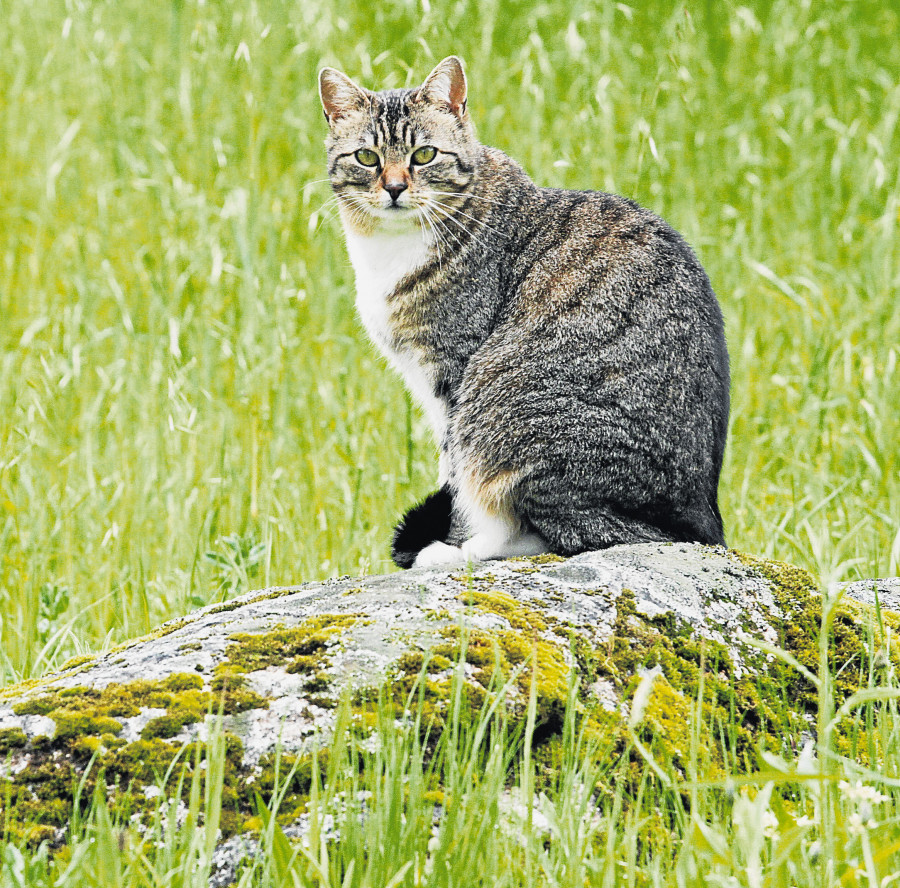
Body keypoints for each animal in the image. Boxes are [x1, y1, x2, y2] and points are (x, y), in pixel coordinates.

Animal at [316, 57, 732, 568]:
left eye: (424, 156)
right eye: (367, 158)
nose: (394, 187)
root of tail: (699, 523)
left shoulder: (453, 374)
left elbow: (453, 475)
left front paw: (455, 537)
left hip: (504, 410)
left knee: (565, 529)